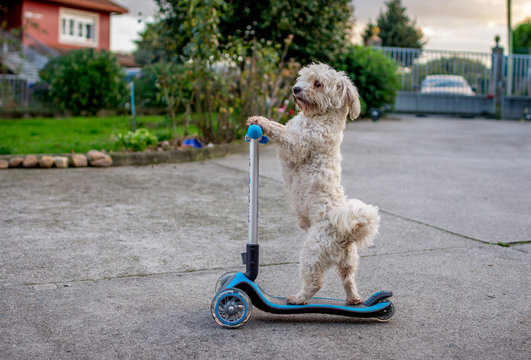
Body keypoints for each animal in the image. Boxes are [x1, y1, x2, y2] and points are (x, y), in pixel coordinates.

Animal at [247, 63, 380, 306]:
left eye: (318, 84)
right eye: (304, 79)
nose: (295, 89)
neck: (319, 117)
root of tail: (345, 232)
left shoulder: (296, 145)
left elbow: (280, 131)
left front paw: (260, 121)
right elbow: (281, 126)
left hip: (312, 254)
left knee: (315, 283)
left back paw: (298, 298)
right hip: (347, 263)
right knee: (348, 279)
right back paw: (354, 300)